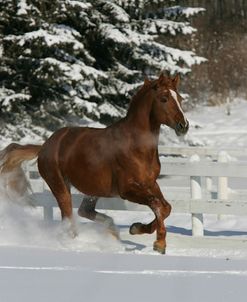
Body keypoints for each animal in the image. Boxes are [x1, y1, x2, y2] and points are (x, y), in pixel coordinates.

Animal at [0, 74, 189, 254]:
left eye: (179, 98)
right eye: (164, 98)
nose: (184, 126)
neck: (136, 147)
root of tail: (45, 146)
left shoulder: (151, 184)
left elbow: (166, 207)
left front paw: (136, 228)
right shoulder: (127, 190)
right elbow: (156, 205)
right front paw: (159, 244)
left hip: (92, 190)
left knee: (84, 211)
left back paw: (111, 231)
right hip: (60, 186)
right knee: (69, 217)